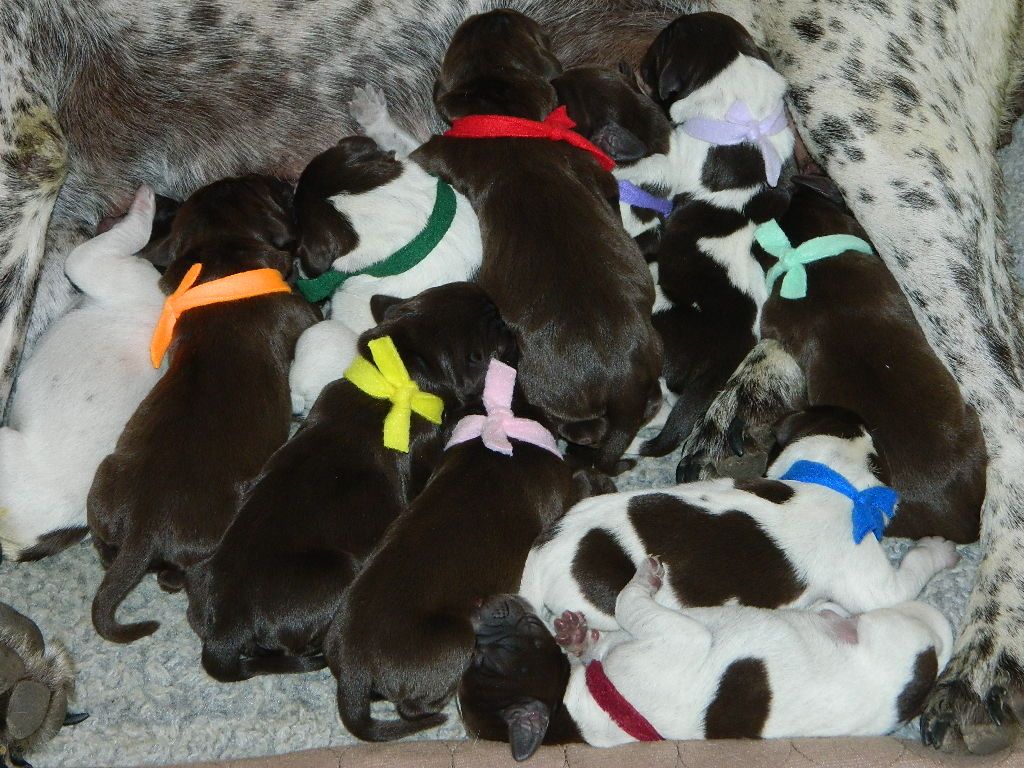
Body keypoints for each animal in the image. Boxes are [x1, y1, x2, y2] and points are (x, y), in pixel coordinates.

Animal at [87, 175, 319, 643]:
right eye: (266, 186)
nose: (286, 181)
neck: (219, 260)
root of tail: (143, 530)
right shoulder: (300, 312)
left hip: (104, 480)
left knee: (104, 544)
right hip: (218, 527)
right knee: (174, 573)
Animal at [186, 282, 516, 682]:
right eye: (480, 353)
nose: (504, 318)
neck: (393, 380)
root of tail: (226, 629)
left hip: (198, 582)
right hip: (335, 574)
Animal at [324, 357, 601, 742]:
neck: (503, 425)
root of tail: (354, 669)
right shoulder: (561, 492)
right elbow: (581, 482)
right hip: (457, 639)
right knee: (413, 707)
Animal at [400, 10, 663, 476]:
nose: (491, 12)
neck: (505, 114)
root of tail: (625, 381)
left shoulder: (437, 152)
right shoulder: (594, 171)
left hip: (543, 384)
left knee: (582, 427)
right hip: (655, 353)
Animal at [461, 556, 952, 759]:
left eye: (480, 656)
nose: (478, 603)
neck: (572, 706)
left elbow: (609, 625)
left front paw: (576, 632)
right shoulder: (678, 636)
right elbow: (626, 600)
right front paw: (644, 577)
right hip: (895, 626)